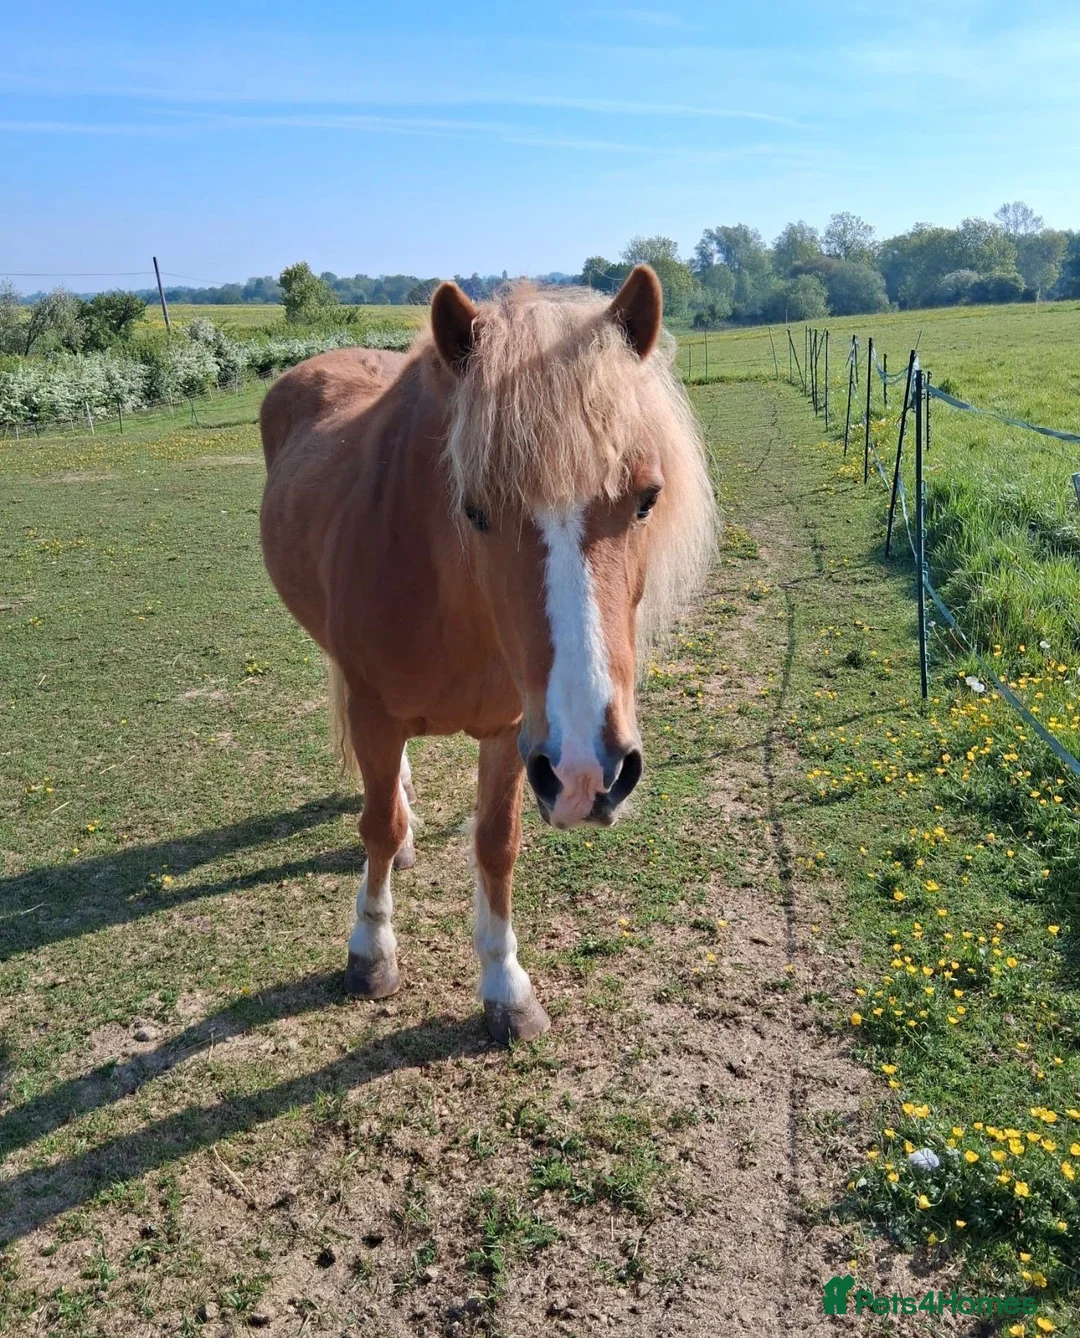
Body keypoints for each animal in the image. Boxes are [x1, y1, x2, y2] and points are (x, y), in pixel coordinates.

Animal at [258, 266, 716, 1044]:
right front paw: (370, 952)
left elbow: (496, 844)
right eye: (473, 509)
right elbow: (376, 828)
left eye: (648, 498)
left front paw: (506, 986)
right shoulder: (376, 711)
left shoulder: (515, 733)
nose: (592, 773)